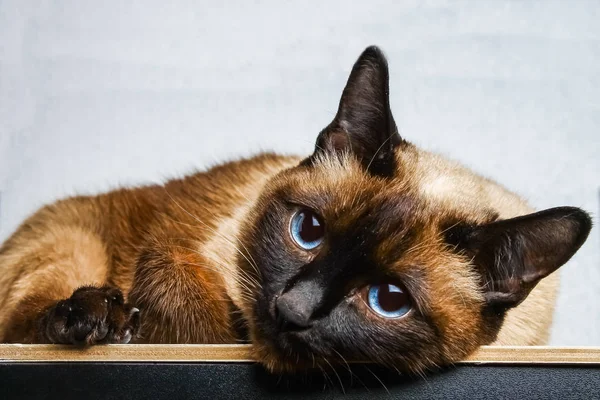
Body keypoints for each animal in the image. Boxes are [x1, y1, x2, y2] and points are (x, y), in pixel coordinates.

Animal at [0, 46, 592, 376]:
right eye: (307, 231)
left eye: (389, 300)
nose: (292, 309)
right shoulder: (182, 254)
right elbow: (183, 295)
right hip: (72, 242)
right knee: (24, 322)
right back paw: (99, 319)